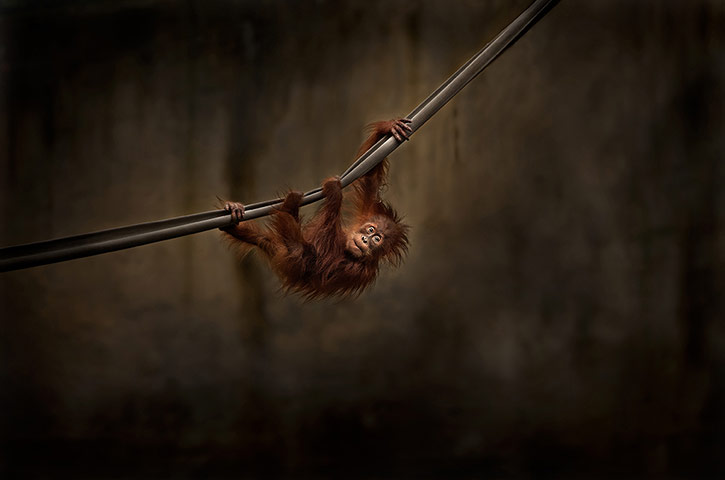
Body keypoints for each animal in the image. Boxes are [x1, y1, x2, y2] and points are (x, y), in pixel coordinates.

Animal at [220, 118, 412, 299]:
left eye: (377, 239)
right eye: (371, 229)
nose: (365, 239)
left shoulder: (359, 271)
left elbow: (322, 259)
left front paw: (335, 191)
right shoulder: (369, 209)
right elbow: (371, 178)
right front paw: (390, 127)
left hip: (291, 259)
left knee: (296, 247)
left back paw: (290, 205)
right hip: (277, 248)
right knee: (262, 238)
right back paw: (234, 215)